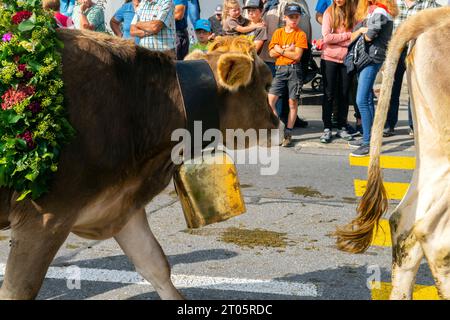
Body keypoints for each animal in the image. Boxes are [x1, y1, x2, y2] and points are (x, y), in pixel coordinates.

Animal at [0, 30, 280, 300]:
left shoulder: (119, 202)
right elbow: (18, 290)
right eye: (266, 84)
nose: (280, 126)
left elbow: (155, 264)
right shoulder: (45, 217)